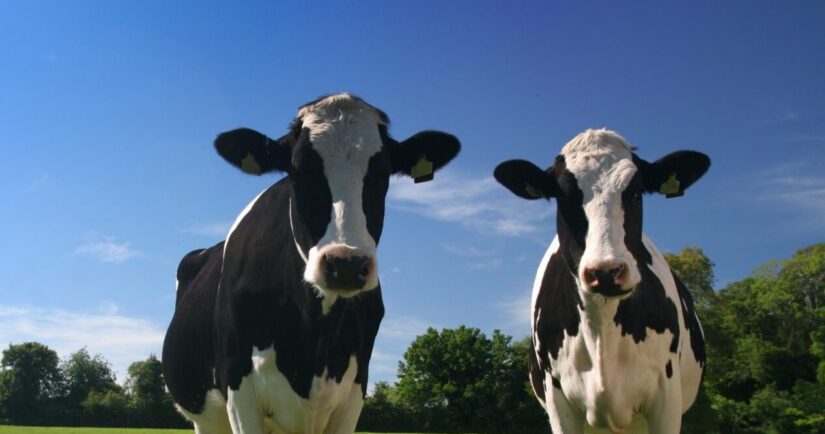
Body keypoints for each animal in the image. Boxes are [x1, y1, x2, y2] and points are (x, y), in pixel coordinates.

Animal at [161, 94, 458, 434]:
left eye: (382, 174)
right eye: (298, 170)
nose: (345, 264)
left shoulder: (356, 388)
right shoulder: (236, 384)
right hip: (206, 418)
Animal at [492, 129, 712, 434]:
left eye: (636, 192)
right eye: (562, 196)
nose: (606, 271)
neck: (602, 332)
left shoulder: (667, 396)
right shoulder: (557, 400)